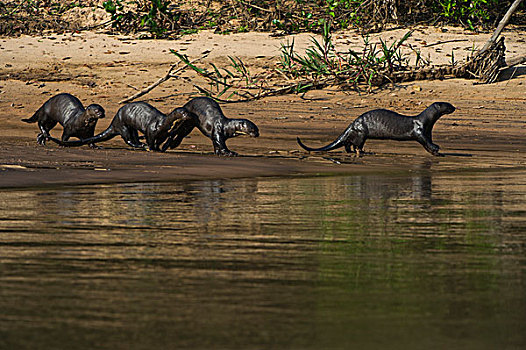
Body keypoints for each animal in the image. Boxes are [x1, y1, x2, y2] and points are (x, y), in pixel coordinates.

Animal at [47, 100, 194, 151]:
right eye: (183, 113)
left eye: (189, 112)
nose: (189, 116)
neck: (163, 123)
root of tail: (114, 122)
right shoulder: (152, 130)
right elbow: (150, 139)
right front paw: (151, 148)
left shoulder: (165, 133)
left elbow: (160, 141)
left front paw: (158, 148)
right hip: (123, 125)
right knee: (128, 139)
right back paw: (140, 145)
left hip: (131, 127)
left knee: (133, 137)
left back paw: (139, 144)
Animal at [296, 101, 458, 156]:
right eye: (448, 105)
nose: (455, 107)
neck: (427, 121)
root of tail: (352, 124)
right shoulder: (420, 130)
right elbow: (424, 141)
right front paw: (436, 148)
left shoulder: (428, 131)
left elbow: (427, 143)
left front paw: (435, 151)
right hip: (361, 132)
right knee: (356, 145)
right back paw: (363, 152)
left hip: (356, 133)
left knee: (347, 144)